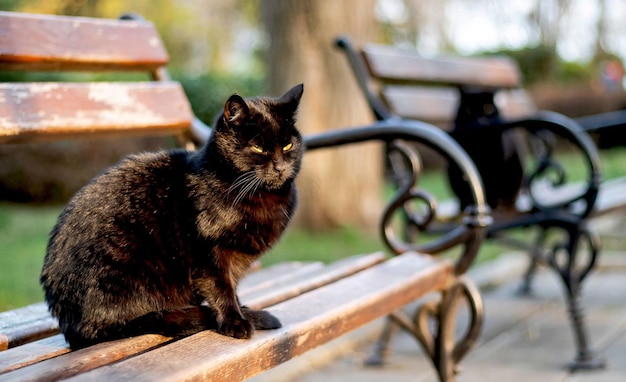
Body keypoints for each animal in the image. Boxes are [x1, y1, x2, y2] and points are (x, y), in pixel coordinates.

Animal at [40, 83, 304, 350]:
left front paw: (245, 312)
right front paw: (234, 322)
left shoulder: (236, 261)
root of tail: (69, 326)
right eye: (258, 147)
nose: (280, 167)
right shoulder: (209, 254)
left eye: (288, 146)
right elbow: (221, 289)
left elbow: (233, 289)